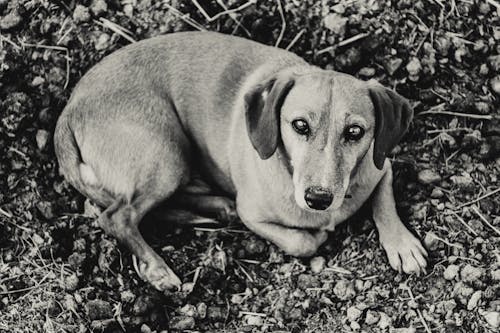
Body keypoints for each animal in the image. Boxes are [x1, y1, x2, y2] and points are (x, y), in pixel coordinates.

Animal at [55, 31, 430, 290]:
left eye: (355, 131)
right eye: (300, 125)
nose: (319, 199)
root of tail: (69, 110)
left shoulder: (381, 165)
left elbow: (384, 199)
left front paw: (402, 244)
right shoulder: (257, 216)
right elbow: (303, 241)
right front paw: (321, 234)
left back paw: (215, 209)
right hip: (165, 155)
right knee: (117, 216)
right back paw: (158, 268)